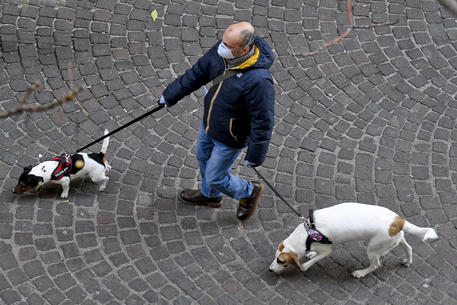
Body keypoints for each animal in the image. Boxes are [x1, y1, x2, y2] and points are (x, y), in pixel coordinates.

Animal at [268, 202, 438, 278]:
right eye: (275, 257)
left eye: (281, 261)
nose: (270, 269)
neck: (308, 232)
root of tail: (399, 220)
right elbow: (313, 254)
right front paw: (310, 254)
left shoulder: (327, 250)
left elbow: (307, 264)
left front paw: (305, 265)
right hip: (395, 239)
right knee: (408, 248)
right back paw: (407, 261)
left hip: (372, 248)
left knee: (376, 264)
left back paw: (361, 273)